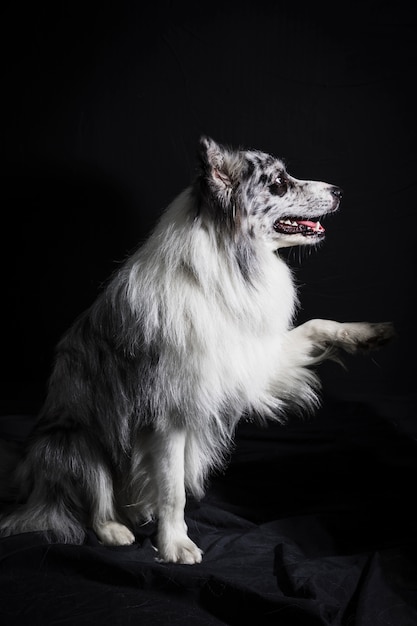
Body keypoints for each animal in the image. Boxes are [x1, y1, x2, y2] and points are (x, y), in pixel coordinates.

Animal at [0, 135, 394, 560]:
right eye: (278, 183)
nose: (339, 191)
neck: (230, 262)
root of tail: (32, 489)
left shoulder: (252, 356)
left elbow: (316, 325)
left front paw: (370, 332)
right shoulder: (168, 413)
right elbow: (173, 490)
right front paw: (175, 545)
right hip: (74, 443)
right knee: (94, 503)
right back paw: (115, 530)